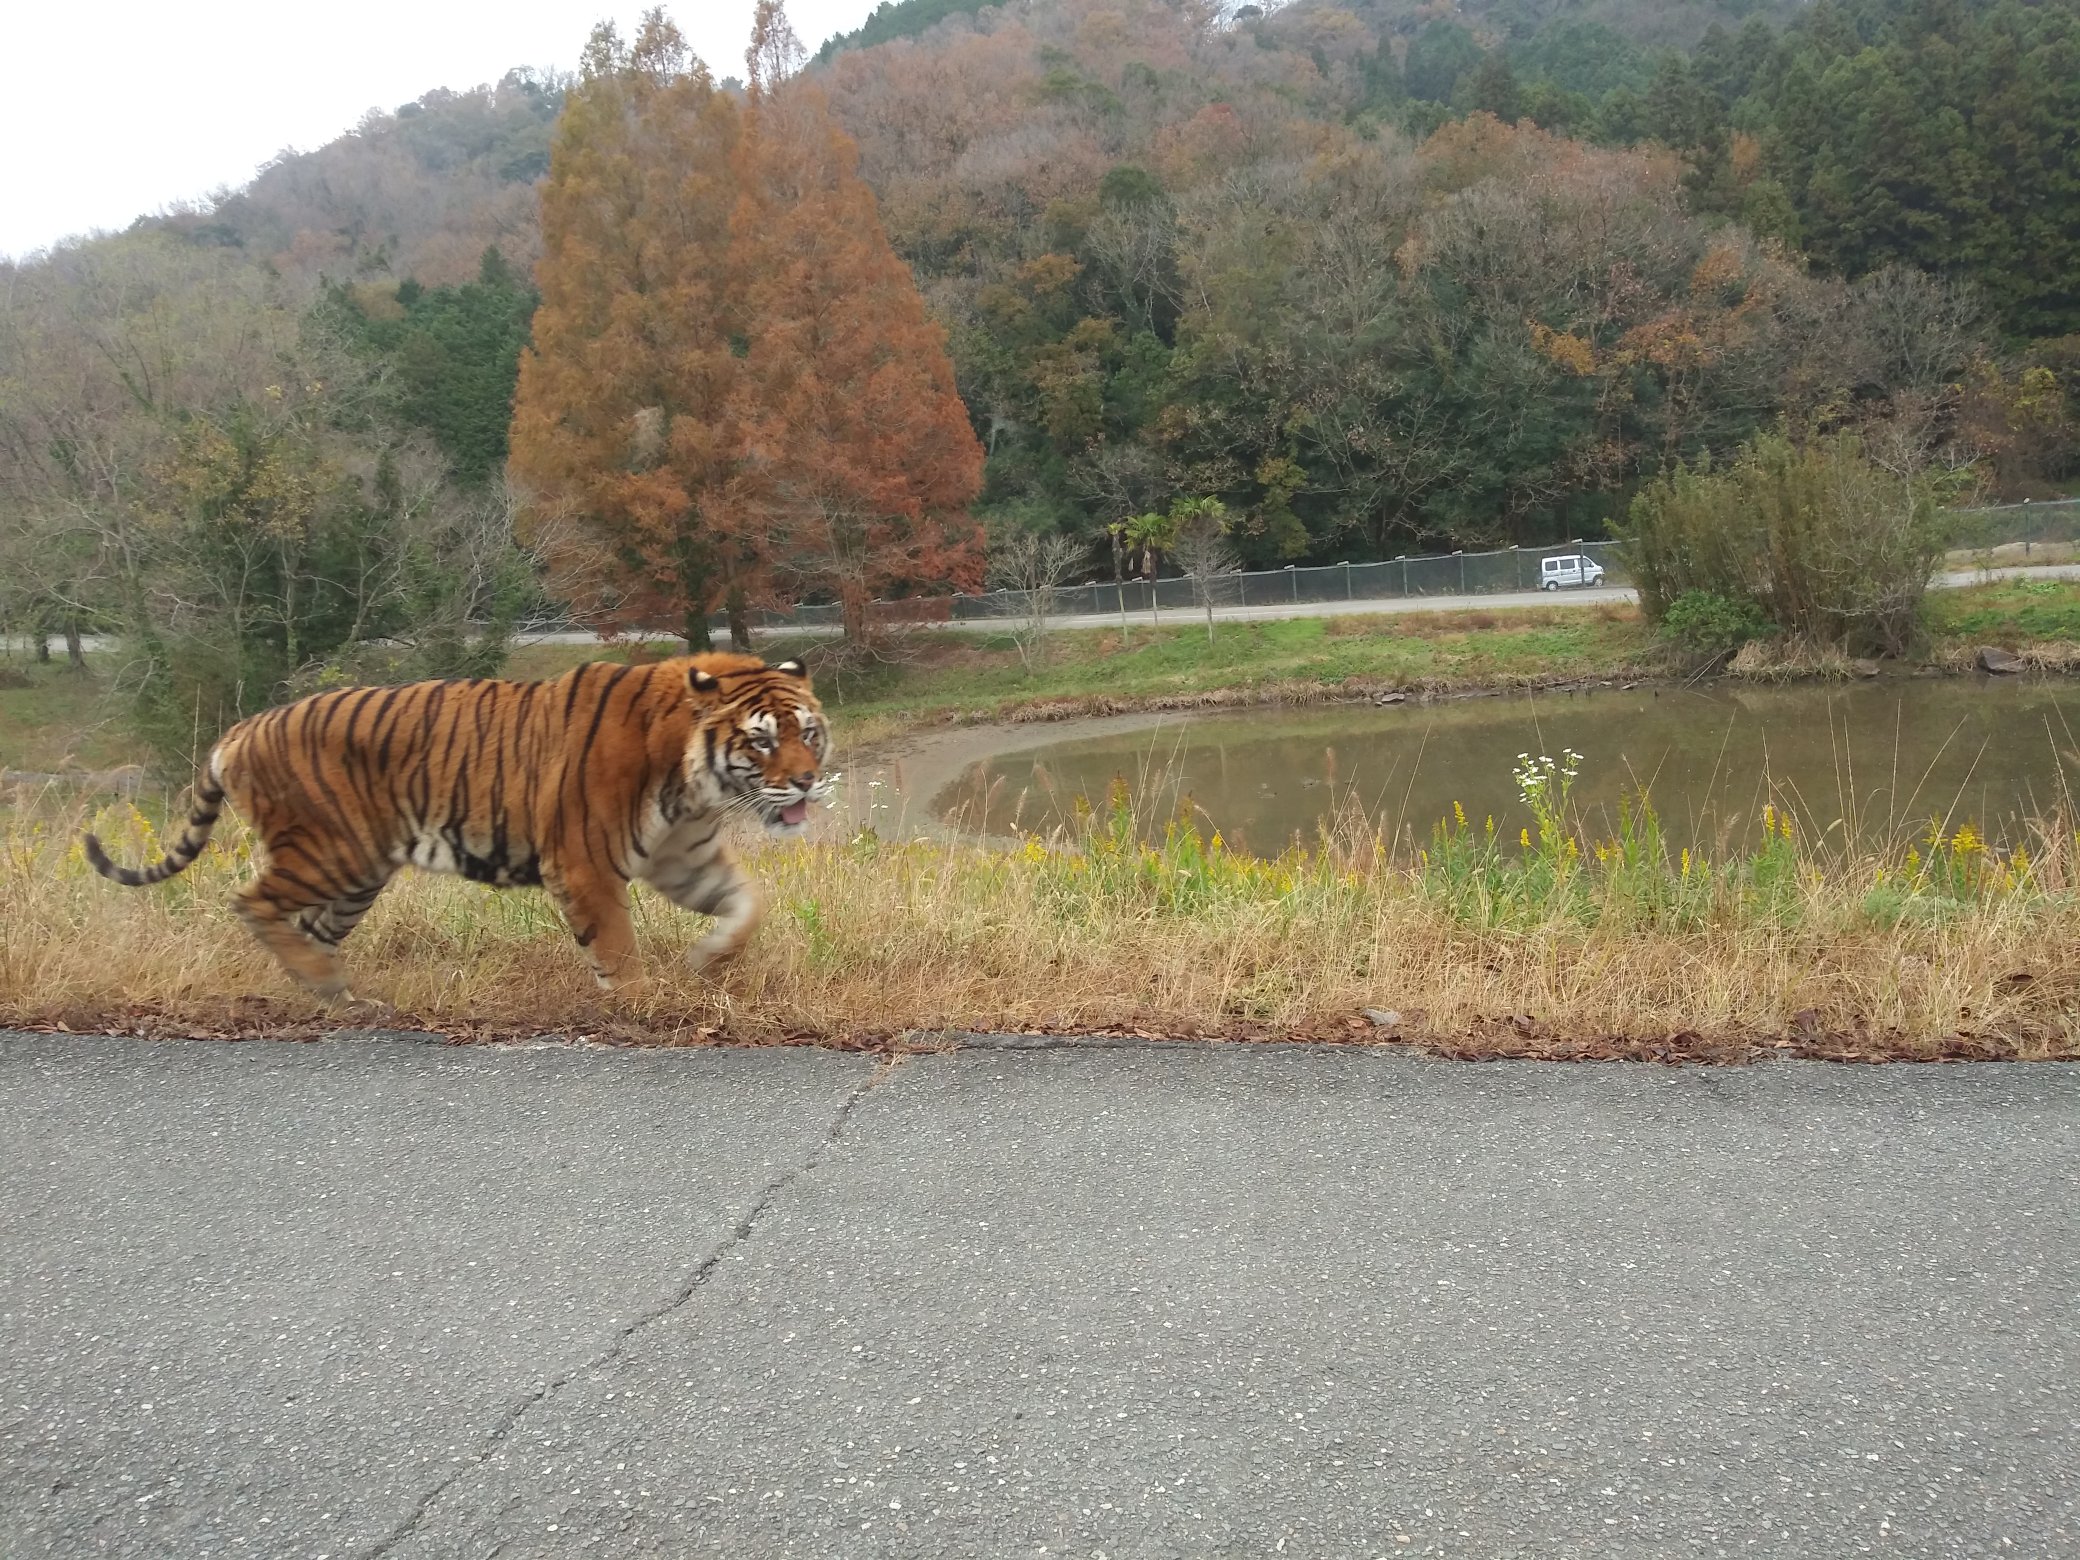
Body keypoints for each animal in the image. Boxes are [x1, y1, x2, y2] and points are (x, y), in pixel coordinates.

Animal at [83, 648, 827, 1002]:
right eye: (762, 741)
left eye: (809, 733)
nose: (807, 780)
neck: (693, 781)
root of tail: (238, 730)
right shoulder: (584, 864)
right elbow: (616, 948)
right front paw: (643, 1004)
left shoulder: (684, 859)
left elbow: (748, 907)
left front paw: (709, 960)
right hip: (332, 851)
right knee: (251, 901)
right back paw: (322, 984)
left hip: (358, 874)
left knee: (307, 926)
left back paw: (333, 993)